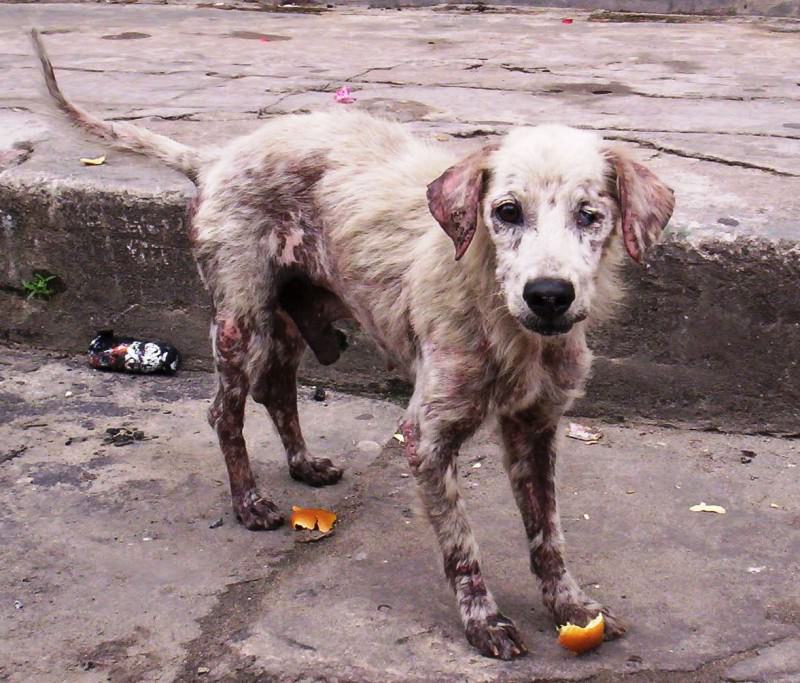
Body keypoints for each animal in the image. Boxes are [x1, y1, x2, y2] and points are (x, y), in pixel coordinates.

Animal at [34, 32, 676, 664]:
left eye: (590, 215)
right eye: (506, 212)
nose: (548, 296)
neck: (505, 322)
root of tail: (216, 158)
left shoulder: (536, 429)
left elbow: (548, 534)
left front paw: (571, 606)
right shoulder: (426, 436)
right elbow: (461, 544)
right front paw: (482, 619)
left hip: (292, 319)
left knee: (277, 390)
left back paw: (303, 463)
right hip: (240, 318)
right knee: (224, 411)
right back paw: (249, 501)